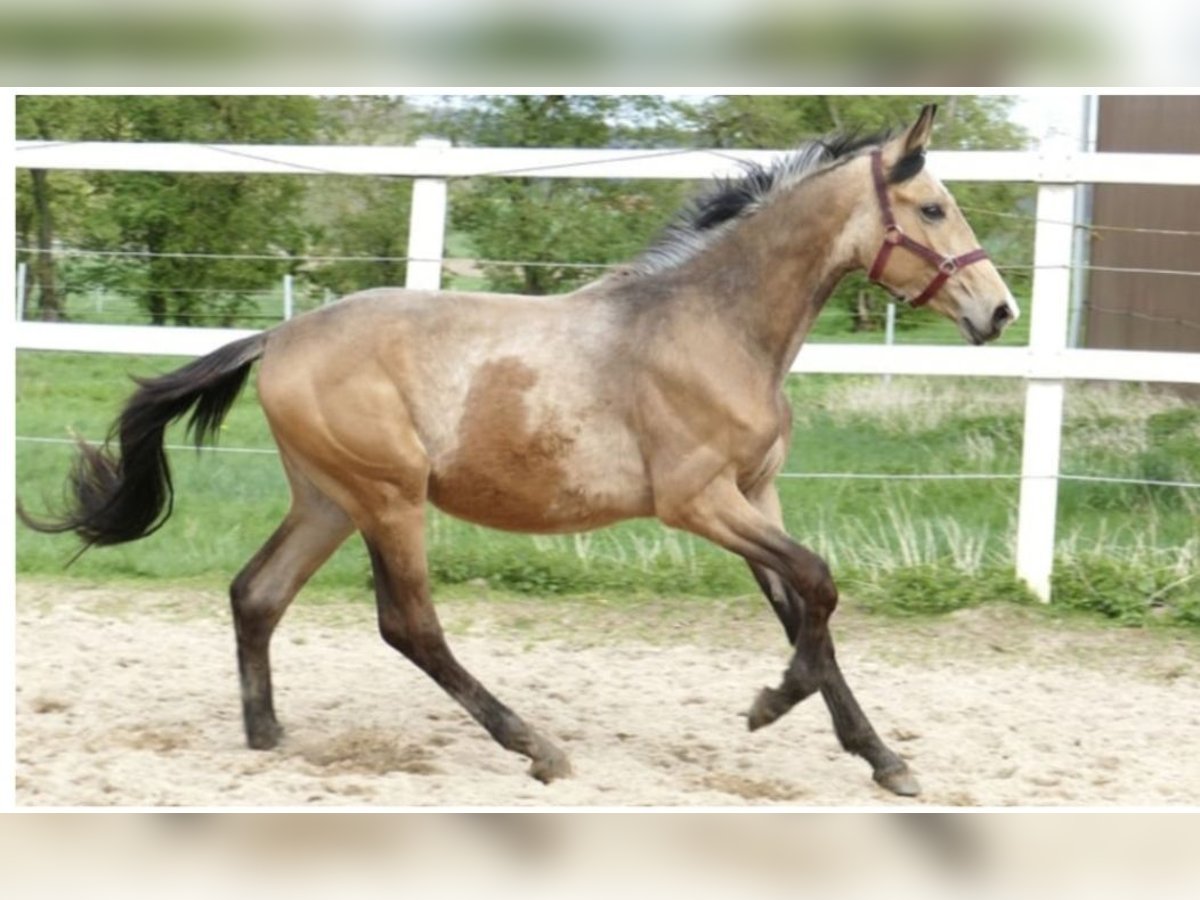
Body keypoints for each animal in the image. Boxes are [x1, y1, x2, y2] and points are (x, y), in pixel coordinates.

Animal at [21, 103, 1012, 796]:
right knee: (409, 625)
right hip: (388, 499)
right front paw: (770, 705)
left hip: (329, 499)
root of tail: (277, 337)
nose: (998, 311)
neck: (712, 326)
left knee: (256, 594)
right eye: (933, 207)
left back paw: (268, 738)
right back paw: (536, 746)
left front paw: (883, 758)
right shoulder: (700, 502)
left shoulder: (756, 495)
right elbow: (819, 585)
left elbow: (805, 605)